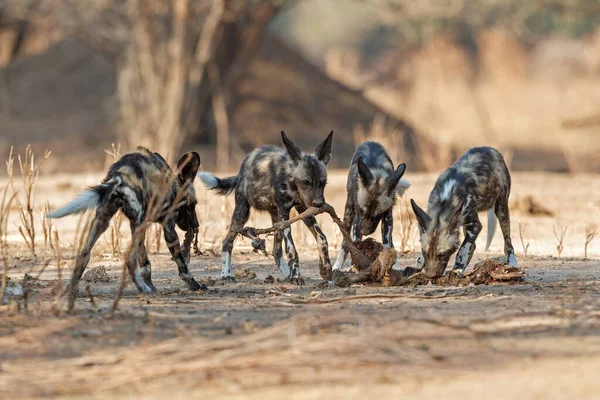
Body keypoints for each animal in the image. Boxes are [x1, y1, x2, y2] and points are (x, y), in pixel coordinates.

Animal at [47, 147, 206, 306]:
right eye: (193, 204)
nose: (196, 224)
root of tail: (120, 175)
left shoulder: (136, 225)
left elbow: (145, 264)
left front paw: (152, 286)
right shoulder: (168, 228)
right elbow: (182, 264)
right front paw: (195, 285)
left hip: (104, 220)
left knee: (84, 255)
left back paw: (71, 290)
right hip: (136, 223)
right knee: (129, 260)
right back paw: (143, 289)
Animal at [200, 131, 332, 284]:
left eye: (323, 183)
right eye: (306, 182)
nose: (319, 204)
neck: (290, 180)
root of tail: (240, 171)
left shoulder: (304, 210)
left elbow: (322, 239)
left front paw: (326, 269)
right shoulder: (284, 213)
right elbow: (292, 250)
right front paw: (297, 276)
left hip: (275, 220)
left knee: (276, 251)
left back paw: (288, 275)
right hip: (242, 214)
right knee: (227, 242)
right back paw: (226, 275)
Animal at [330, 142, 410, 270]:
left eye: (378, 216)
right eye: (361, 212)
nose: (365, 232)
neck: (378, 173)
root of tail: (370, 142)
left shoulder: (387, 217)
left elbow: (387, 243)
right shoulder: (357, 219)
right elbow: (355, 244)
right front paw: (355, 266)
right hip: (348, 214)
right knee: (345, 242)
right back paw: (338, 265)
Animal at [410, 147, 516, 278]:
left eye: (442, 254)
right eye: (425, 253)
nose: (431, 276)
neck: (445, 200)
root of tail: (490, 149)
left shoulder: (475, 225)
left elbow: (463, 249)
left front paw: (456, 269)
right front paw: (417, 265)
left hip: (501, 209)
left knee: (508, 242)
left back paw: (512, 262)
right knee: (474, 246)